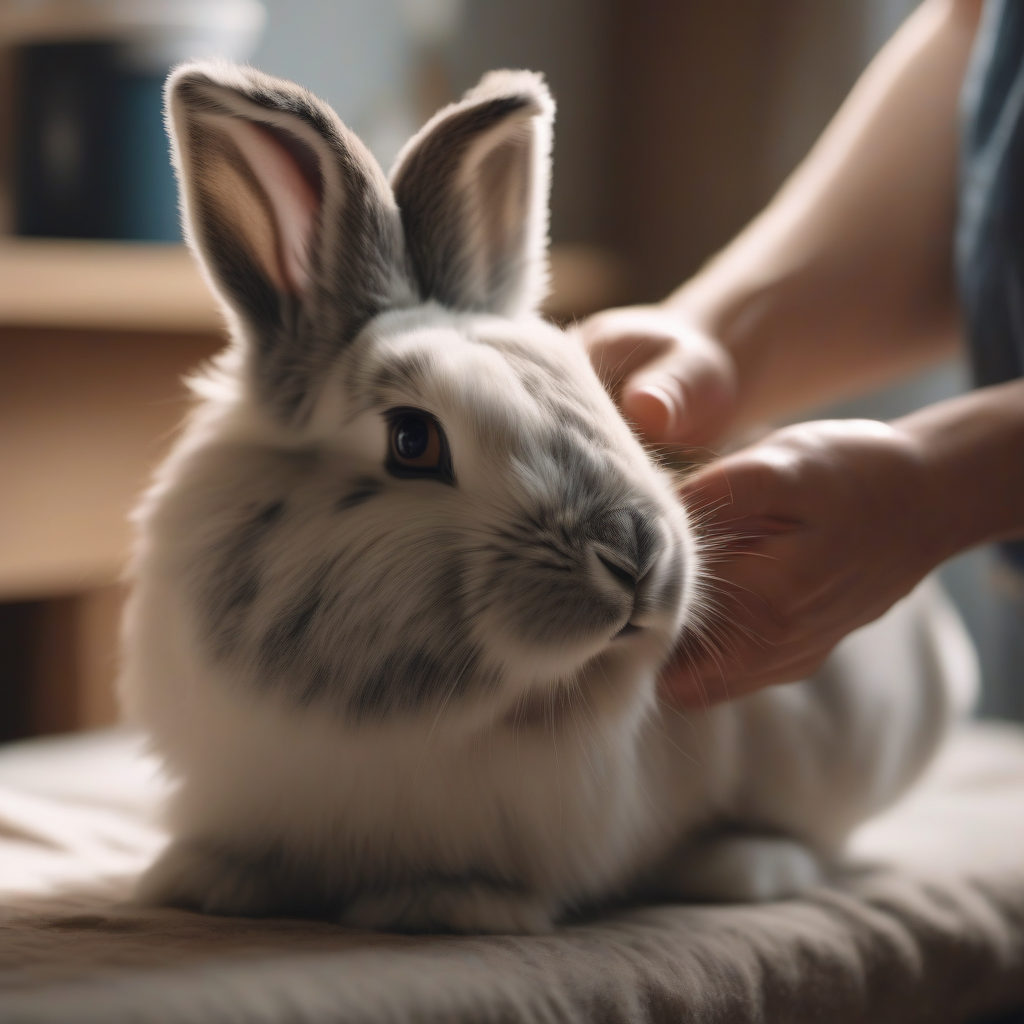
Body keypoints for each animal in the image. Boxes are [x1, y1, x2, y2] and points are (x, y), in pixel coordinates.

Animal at [120, 60, 977, 934]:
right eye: (412, 441)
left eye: (598, 396)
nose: (634, 556)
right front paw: (209, 884)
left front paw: (442, 905)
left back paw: (739, 867)